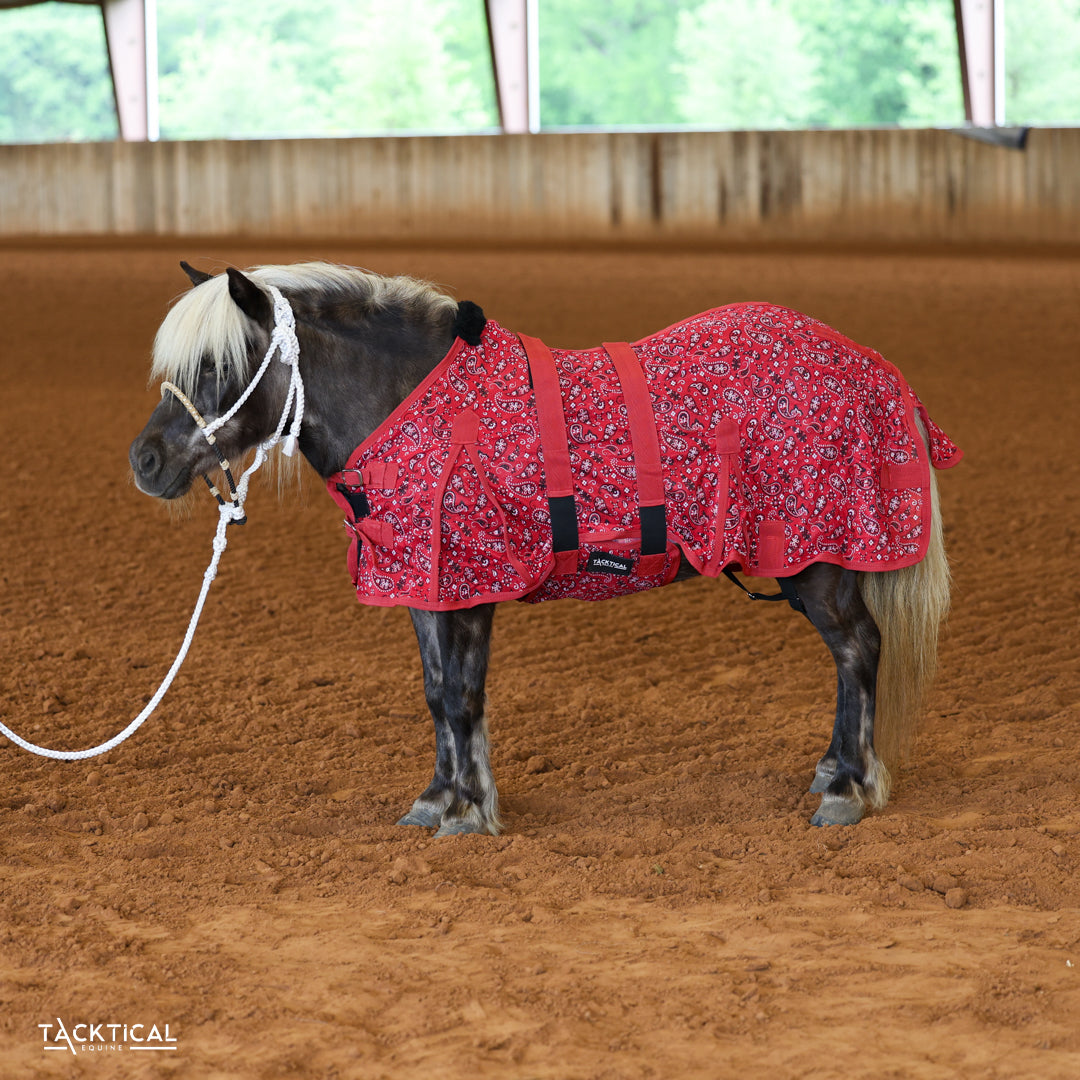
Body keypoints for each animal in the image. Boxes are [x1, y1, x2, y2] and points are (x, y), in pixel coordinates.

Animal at [129, 261, 961, 837]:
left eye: (218, 364)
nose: (145, 460)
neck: (414, 408)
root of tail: (870, 364)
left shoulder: (472, 587)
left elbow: (462, 696)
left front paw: (469, 812)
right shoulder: (428, 588)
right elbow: (436, 692)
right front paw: (437, 799)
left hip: (818, 564)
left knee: (858, 649)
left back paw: (850, 788)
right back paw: (832, 772)